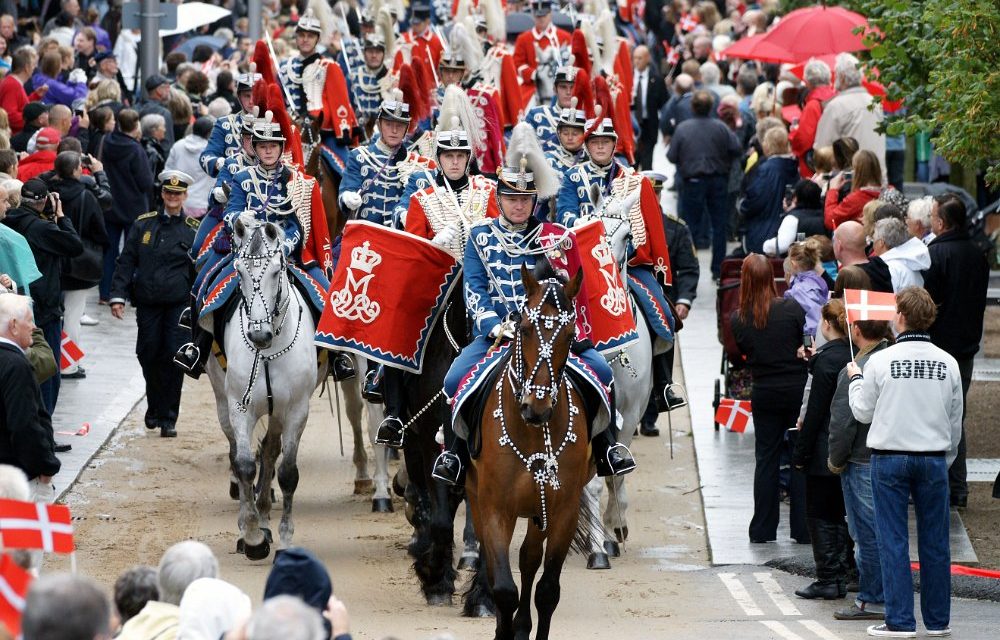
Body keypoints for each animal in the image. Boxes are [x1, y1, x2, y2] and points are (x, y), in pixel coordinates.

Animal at [207, 216, 324, 560]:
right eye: (239, 271)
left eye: (275, 271)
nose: (259, 336)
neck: (270, 351)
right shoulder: (240, 406)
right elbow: (245, 465)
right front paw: (252, 536)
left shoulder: (296, 409)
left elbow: (287, 472)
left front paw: (284, 537)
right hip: (223, 399)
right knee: (237, 453)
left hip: (278, 412)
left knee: (271, 452)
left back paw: (264, 511)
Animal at [462, 262, 588, 640]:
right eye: (526, 328)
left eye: (570, 334)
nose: (537, 406)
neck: (533, 433)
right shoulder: (494, 508)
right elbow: (504, 588)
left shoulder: (563, 511)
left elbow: (547, 590)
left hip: (539, 509)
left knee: (529, 558)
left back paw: (521, 625)